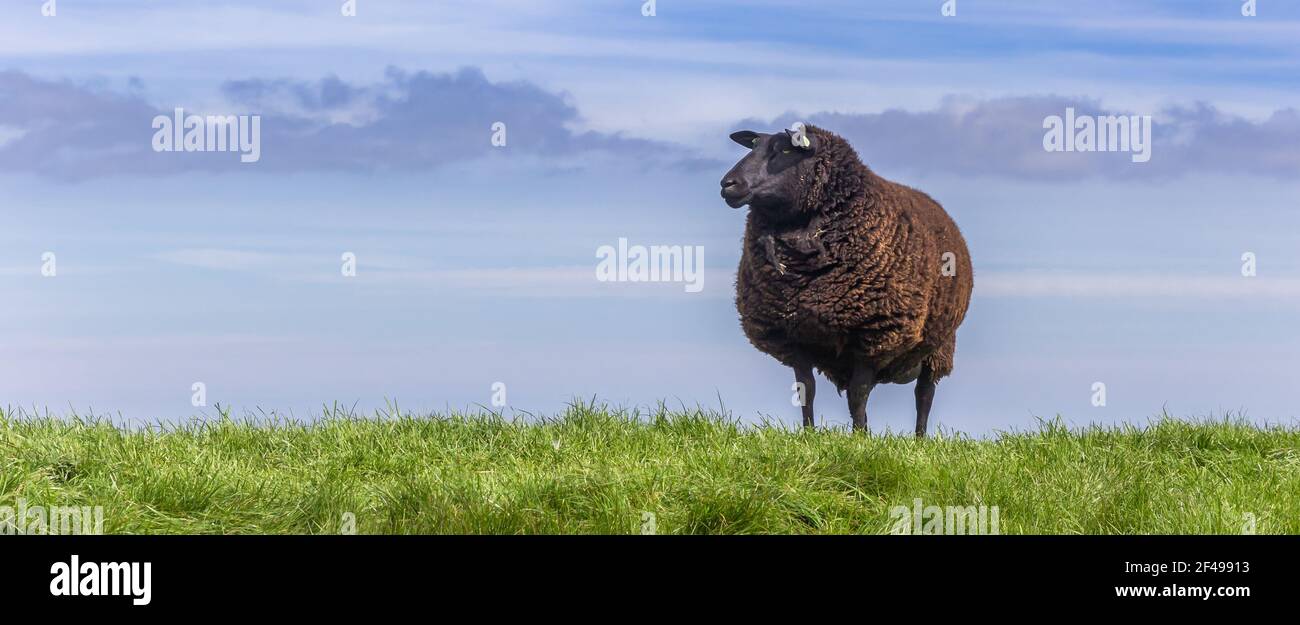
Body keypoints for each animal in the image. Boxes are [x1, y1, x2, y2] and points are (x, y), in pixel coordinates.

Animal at [728, 122, 972, 433]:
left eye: (784, 151)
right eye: (754, 146)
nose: (728, 184)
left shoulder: (872, 335)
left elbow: (858, 394)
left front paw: (858, 438)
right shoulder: (794, 336)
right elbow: (806, 390)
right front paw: (810, 434)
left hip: (939, 346)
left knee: (924, 395)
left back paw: (918, 437)